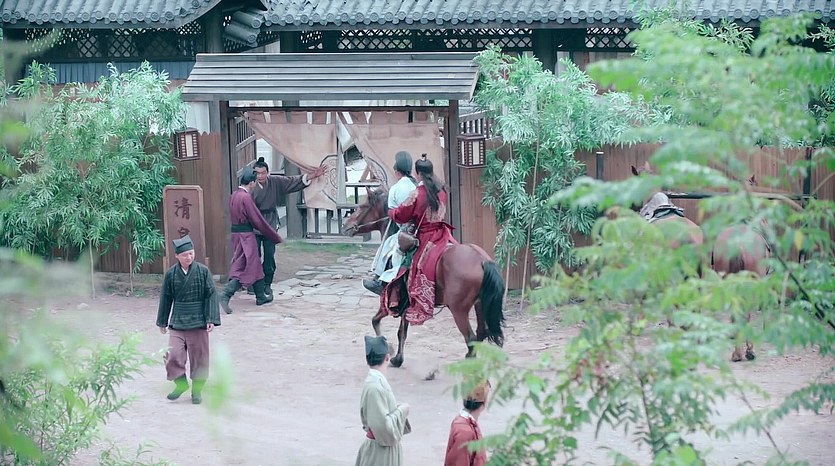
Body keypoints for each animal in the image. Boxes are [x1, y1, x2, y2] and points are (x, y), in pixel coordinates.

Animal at [343, 188, 506, 367]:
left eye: (362, 206)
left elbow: (376, 321)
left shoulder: (389, 298)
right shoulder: (406, 302)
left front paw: (389, 350)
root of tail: (482, 260)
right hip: (479, 305)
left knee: (470, 338)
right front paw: (398, 358)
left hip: (459, 310)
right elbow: (402, 331)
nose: (345, 225)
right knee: (480, 335)